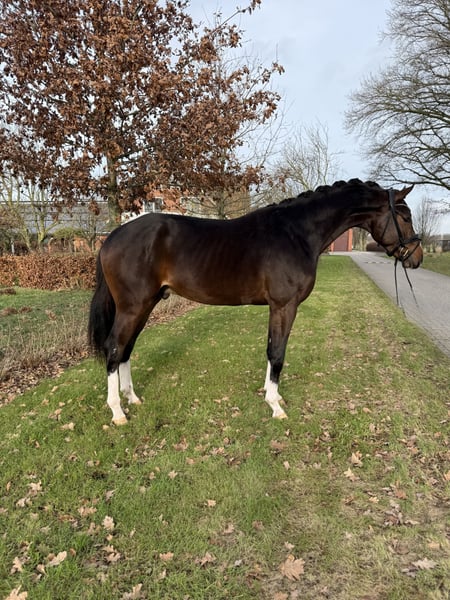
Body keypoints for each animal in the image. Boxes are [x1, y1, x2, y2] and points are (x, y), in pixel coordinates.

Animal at [88, 179, 423, 425]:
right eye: (405, 217)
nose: (417, 258)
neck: (296, 233)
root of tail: (112, 237)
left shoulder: (278, 308)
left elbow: (271, 350)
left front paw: (271, 394)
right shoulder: (285, 305)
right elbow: (277, 353)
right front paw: (276, 406)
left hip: (145, 305)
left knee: (126, 349)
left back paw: (132, 398)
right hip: (133, 307)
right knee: (114, 348)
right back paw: (117, 412)